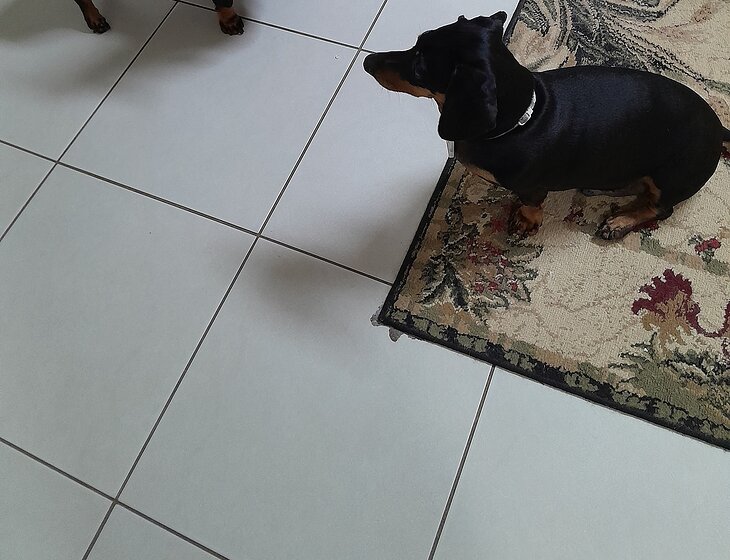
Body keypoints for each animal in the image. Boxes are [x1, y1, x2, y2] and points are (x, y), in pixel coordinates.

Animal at [363, 13, 730, 239]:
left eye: (420, 69)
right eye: (418, 41)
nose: (367, 62)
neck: (525, 120)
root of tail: (718, 129)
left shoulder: (532, 188)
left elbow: (530, 203)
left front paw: (525, 222)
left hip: (670, 178)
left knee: (660, 208)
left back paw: (620, 220)